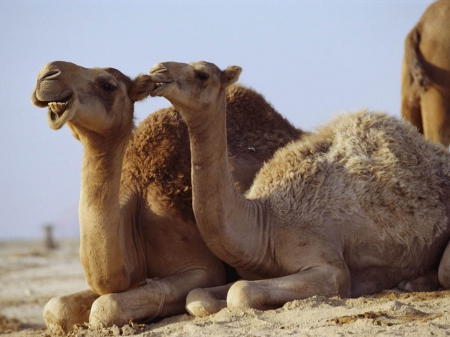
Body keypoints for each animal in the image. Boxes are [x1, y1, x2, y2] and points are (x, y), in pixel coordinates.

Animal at [150, 61, 450, 318]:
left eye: (202, 74)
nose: (157, 71)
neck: (264, 221)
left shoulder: (328, 265)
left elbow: (240, 291)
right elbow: (196, 295)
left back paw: (412, 283)